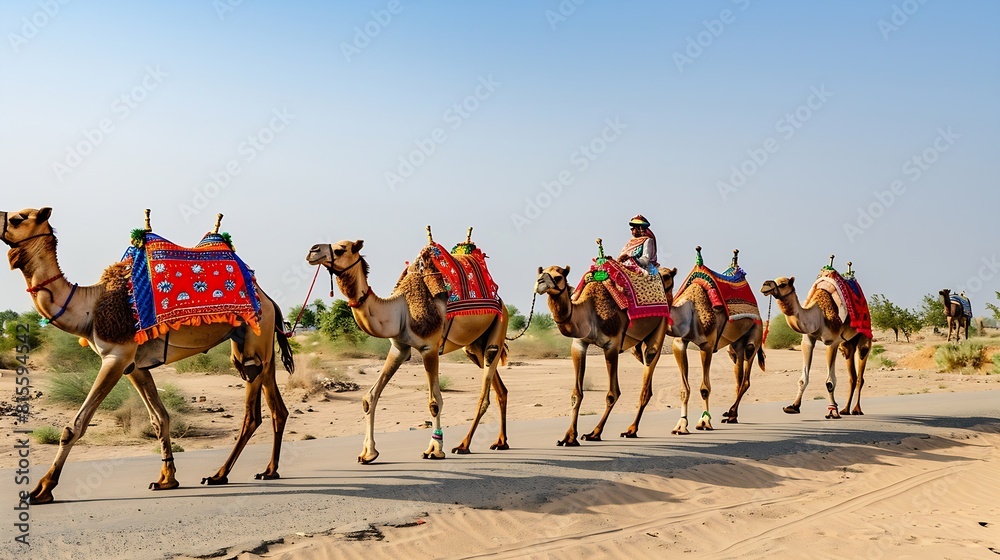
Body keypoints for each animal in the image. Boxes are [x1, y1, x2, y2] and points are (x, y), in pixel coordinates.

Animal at [1, 207, 293, 504]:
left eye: (18, 218)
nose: (1, 216)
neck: (89, 308)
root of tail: (269, 300)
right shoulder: (135, 367)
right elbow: (159, 418)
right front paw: (166, 479)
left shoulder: (116, 357)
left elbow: (76, 425)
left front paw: (42, 488)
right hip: (256, 345)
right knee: (277, 407)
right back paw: (269, 471)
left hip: (254, 343)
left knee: (252, 414)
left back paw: (219, 475)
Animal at [306, 236, 510, 463]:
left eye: (341, 249)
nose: (313, 250)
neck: (400, 310)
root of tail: (501, 302)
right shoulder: (399, 348)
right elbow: (370, 397)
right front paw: (368, 453)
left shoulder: (429, 348)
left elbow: (434, 402)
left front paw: (434, 450)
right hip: (474, 347)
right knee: (500, 389)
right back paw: (500, 442)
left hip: (498, 328)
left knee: (484, 392)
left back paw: (463, 445)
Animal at [534, 265, 668, 445]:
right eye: (540, 274)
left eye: (558, 277)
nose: (540, 282)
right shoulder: (579, 344)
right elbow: (576, 394)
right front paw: (569, 438)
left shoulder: (611, 346)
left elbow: (612, 394)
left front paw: (594, 434)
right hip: (638, 346)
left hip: (660, 326)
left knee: (649, 370)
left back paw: (631, 430)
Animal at [760, 274, 872, 418]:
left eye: (783, 284)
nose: (765, 285)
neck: (818, 316)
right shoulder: (808, 339)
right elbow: (803, 379)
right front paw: (793, 406)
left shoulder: (832, 342)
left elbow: (830, 382)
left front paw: (832, 411)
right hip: (847, 345)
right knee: (852, 376)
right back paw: (845, 410)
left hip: (864, 338)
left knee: (860, 374)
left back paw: (857, 410)